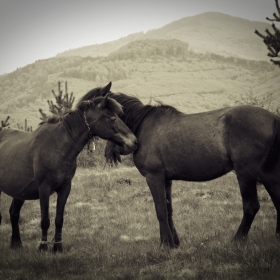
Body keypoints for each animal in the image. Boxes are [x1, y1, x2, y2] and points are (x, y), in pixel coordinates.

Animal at [0, 95, 138, 252]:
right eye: (113, 118)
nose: (134, 142)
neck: (57, 147)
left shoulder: (65, 188)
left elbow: (59, 219)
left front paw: (57, 248)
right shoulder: (44, 189)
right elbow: (45, 220)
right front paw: (43, 247)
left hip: (19, 192)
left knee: (14, 213)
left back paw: (16, 243)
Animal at [78, 82, 280, 248]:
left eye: (88, 106)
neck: (142, 124)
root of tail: (274, 119)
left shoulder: (154, 177)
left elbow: (160, 210)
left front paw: (165, 244)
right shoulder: (166, 180)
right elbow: (168, 211)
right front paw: (173, 242)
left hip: (245, 174)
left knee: (251, 206)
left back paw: (237, 240)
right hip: (268, 174)